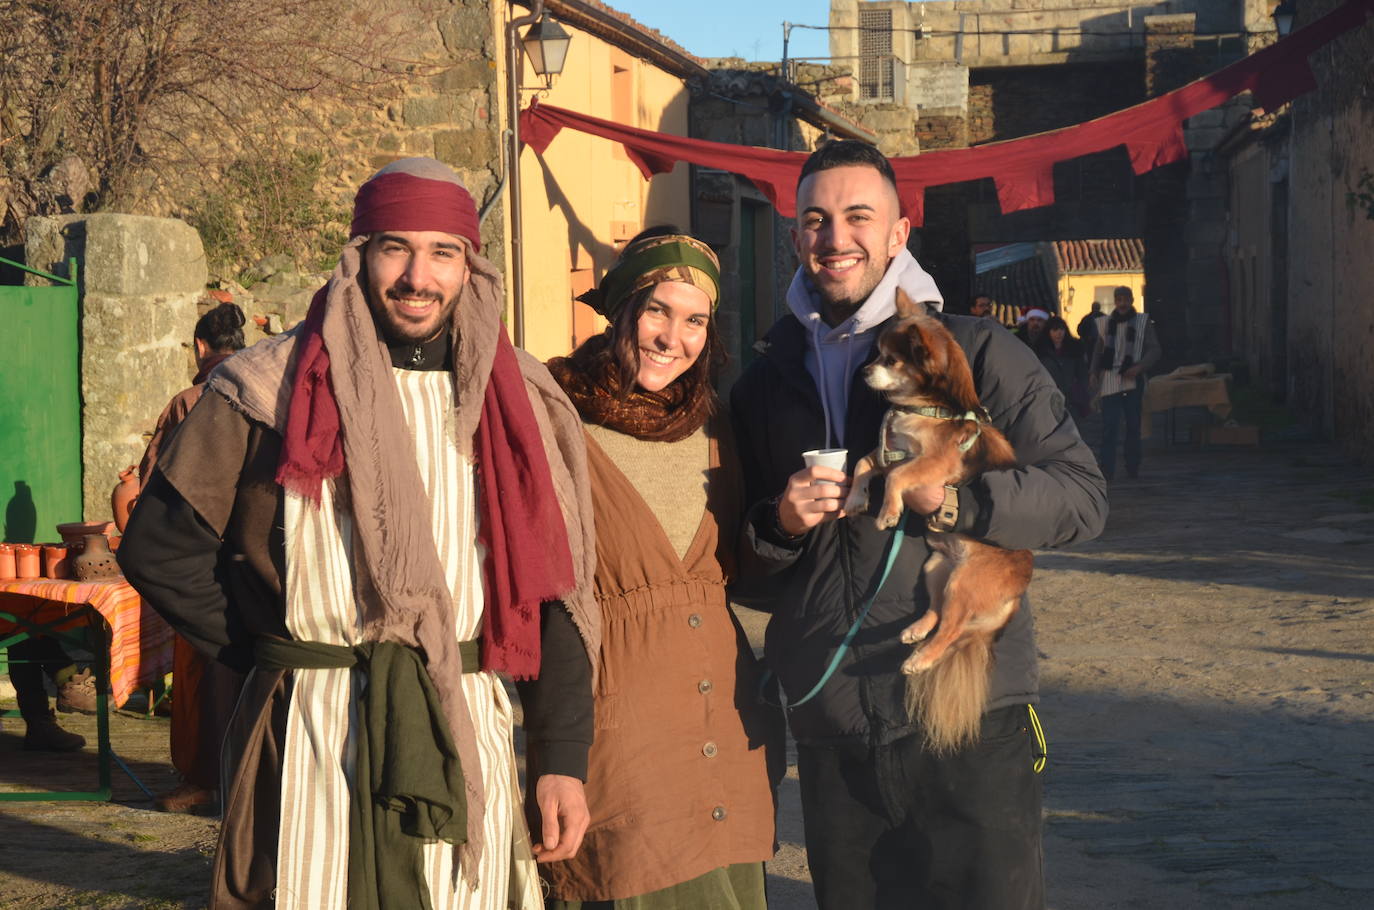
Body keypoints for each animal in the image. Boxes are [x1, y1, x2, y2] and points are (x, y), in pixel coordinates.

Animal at [840, 292, 1033, 753]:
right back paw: (915, 633)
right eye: (876, 354)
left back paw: (919, 660)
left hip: (964, 582)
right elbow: (862, 464)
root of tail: (1016, 590)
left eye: (890, 359)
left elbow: (896, 478)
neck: (926, 409)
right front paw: (857, 498)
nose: (864, 371)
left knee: (951, 629)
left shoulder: (929, 465)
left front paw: (889, 511)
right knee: (938, 612)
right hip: (936, 567)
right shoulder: (888, 451)